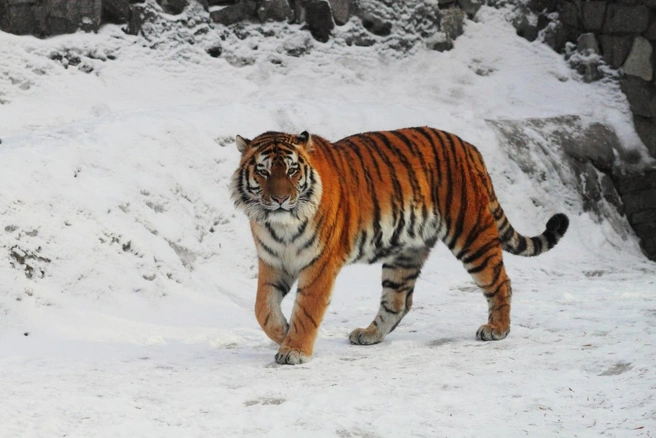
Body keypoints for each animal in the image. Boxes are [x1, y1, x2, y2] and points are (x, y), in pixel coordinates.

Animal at [230, 127, 569, 365]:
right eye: (263, 171)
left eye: (291, 170)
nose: (280, 199)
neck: (279, 225)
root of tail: (469, 147)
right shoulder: (273, 261)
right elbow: (263, 309)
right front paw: (282, 333)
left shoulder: (320, 264)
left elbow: (307, 309)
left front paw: (295, 348)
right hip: (405, 252)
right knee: (398, 300)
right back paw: (369, 334)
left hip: (472, 234)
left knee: (500, 281)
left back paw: (497, 329)